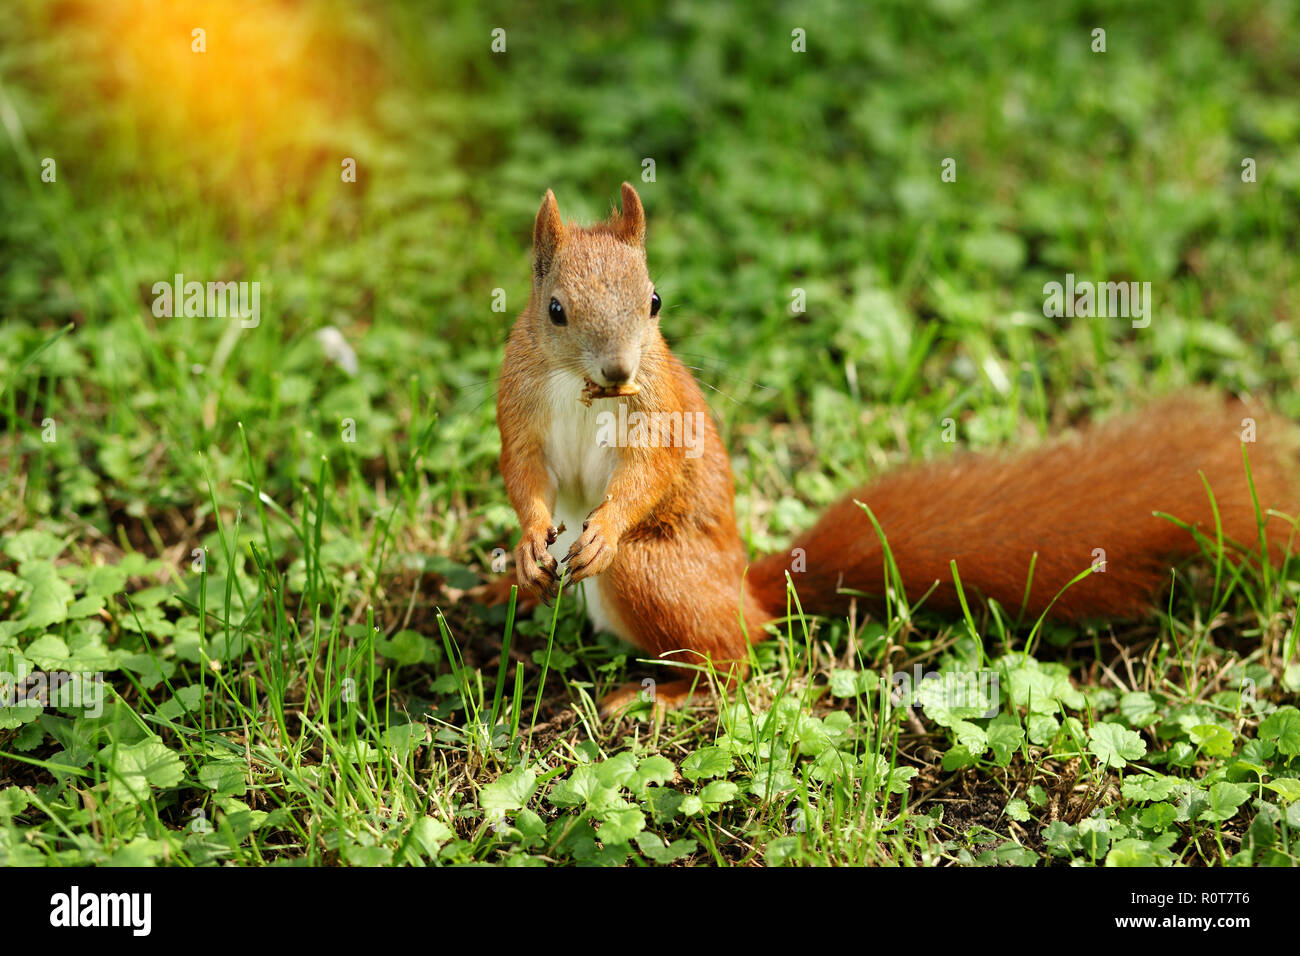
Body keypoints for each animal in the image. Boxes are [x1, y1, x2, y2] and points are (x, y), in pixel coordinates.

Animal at [489, 182, 1297, 716]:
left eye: (654, 301)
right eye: (555, 310)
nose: (619, 372)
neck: (579, 390)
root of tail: (751, 592)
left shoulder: (659, 418)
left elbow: (646, 477)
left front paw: (605, 526)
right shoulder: (518, 407)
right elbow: (524, 475)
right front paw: (529, 543)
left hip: (656, 575)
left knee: (736, 660)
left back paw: (657, 693)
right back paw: (510, 588)